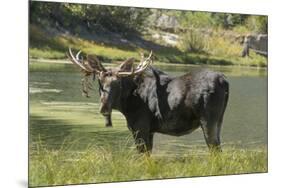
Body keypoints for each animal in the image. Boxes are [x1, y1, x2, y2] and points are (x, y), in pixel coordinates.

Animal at [67, 47, 228, 153]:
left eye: (118, 83)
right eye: (100, 81)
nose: (104, 107)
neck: (126, 105)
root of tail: (224, 81)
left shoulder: (140, 127)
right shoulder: (150, 131)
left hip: (208, 120)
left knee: (215, 150)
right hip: (219, 121)